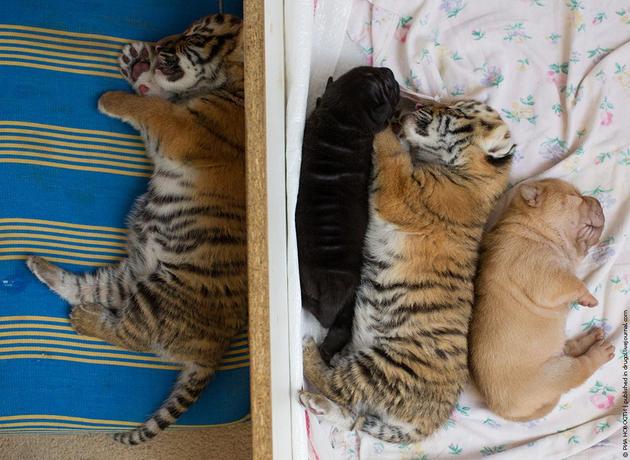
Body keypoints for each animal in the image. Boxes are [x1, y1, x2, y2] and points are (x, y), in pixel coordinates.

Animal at [296, 66, 400, 362]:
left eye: (372, 71)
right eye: (388, 88)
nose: (389, 71)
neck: (340, 122)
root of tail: (328, 291)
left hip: (305, 284)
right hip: (349, 301)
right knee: (340, 328)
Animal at [472, 179, 616, 420]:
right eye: (575, 198)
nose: (597, 201)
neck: (533, 227)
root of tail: (506, 412)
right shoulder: (545, 275)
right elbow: (573, 282)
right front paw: (587, 297)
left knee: (569, 348)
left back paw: (591, 337)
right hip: (556, 374)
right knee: (581, 366)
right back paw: (599, 352)